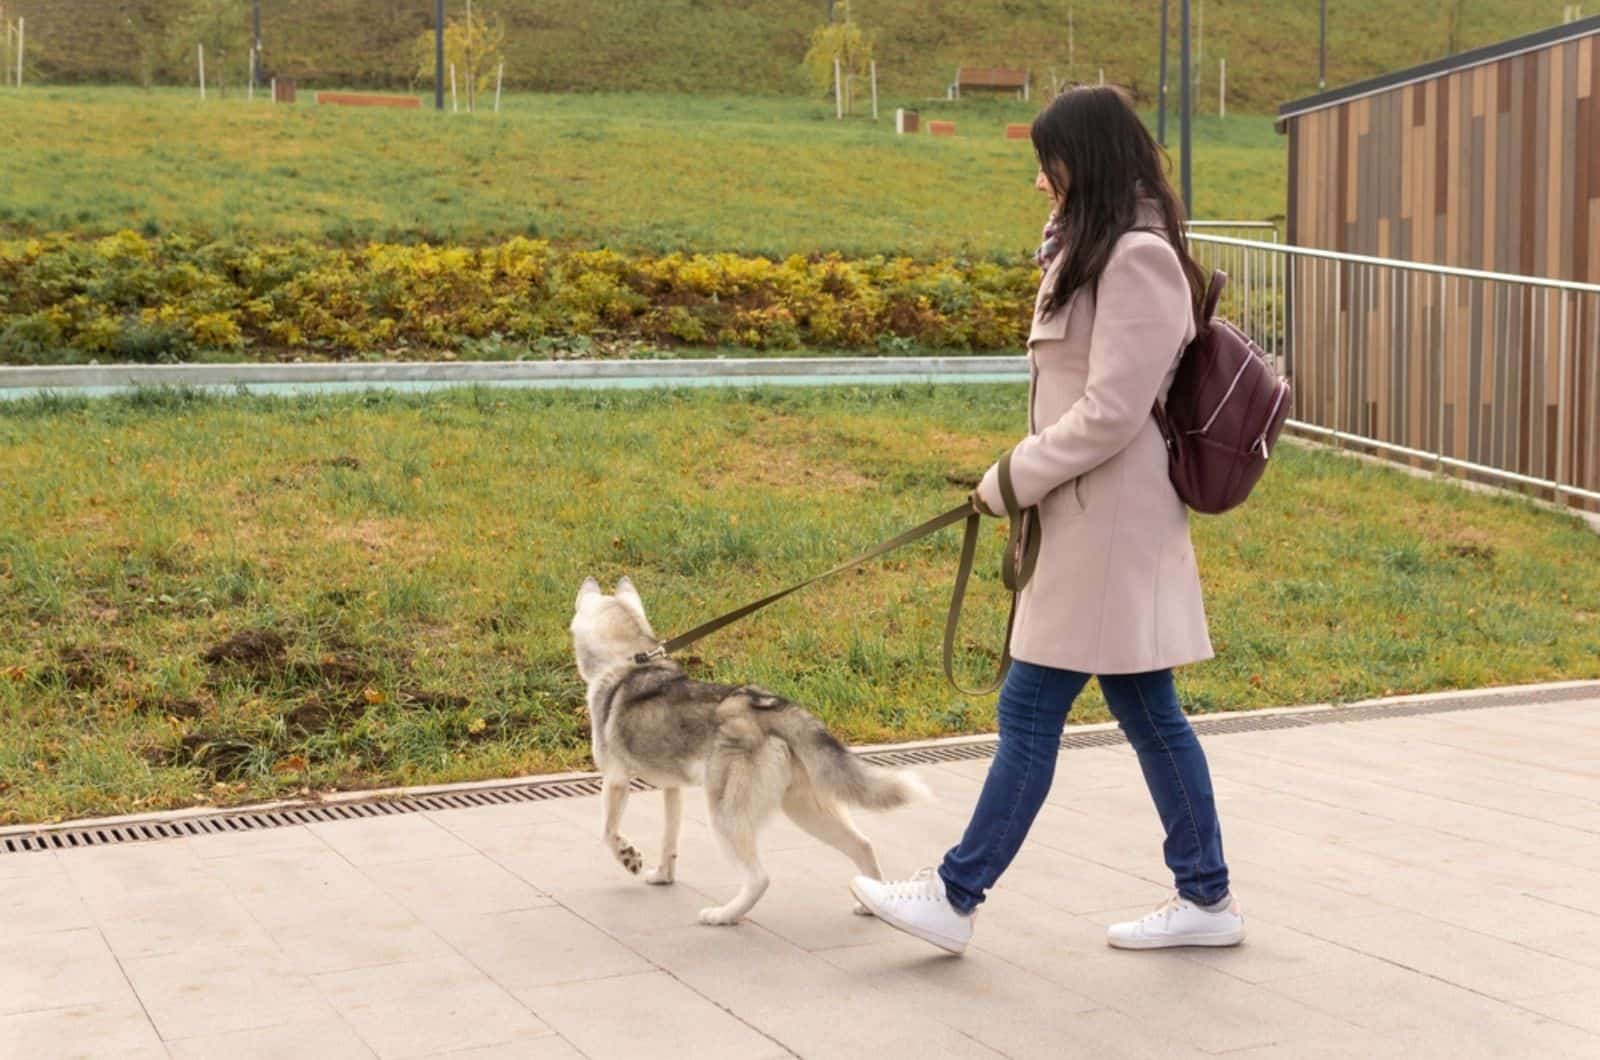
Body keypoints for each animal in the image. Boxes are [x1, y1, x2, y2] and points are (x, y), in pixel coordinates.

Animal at [572, 576, 928, 928]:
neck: (627, 660)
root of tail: (770, 706)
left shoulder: (615, 780)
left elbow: (608, 832)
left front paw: (629, 858)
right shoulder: (672, 790)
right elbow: (668, 841)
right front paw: (663, 876)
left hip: (726, 815)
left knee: (759, 878)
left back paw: (724, 915)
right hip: (805, 809)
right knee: (863, 845)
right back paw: (873, 904)